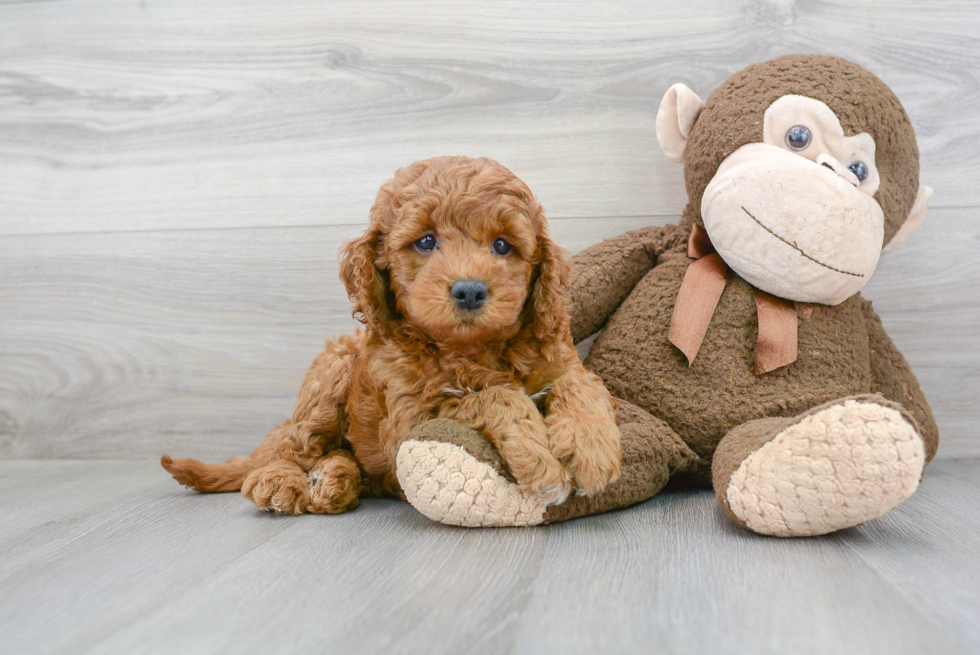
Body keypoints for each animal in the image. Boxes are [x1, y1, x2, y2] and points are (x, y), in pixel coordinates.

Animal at [161, 156, 620, 516]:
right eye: (426, 241)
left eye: (503, 246)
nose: (470, 290)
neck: (471, 348)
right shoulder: (411, 419)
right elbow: (494, 397)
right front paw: (541, 461)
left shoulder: (560, 361)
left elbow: (583, 386)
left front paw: (591, 450)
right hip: (332, 369)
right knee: (294, 446)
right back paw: (281, 482)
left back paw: (334, 479)